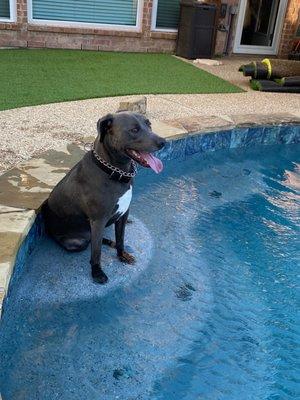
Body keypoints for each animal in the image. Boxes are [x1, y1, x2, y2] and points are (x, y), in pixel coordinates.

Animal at [41, 111, 166, 282]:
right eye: (134, 130)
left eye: (149, 125)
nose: (163, 142)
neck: (114, 171)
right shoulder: (98, 220)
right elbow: (96, 252)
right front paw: (97, 272)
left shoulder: (123, 214)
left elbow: (120, 239)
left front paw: (121, 255)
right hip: (75, 242)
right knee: (91, 242)